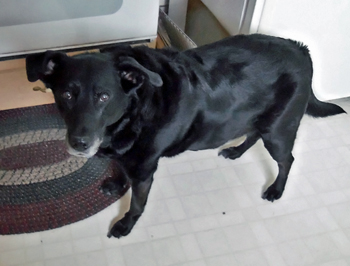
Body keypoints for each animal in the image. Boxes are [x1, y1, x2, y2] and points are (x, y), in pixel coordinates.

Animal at [26, 33, 346, 237]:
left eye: (103, 97)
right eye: (66, 95)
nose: (79, 144)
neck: (132, 111)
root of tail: (301, 49)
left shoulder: (144, 170)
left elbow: (137, 204)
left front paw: (125, 225)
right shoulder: (126, 156)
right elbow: (120, 170)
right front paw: (116, 184)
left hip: (279, 131)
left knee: (287, 160)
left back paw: (276, 190)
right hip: (258, 120)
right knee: (253, 134)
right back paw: (236, 151)